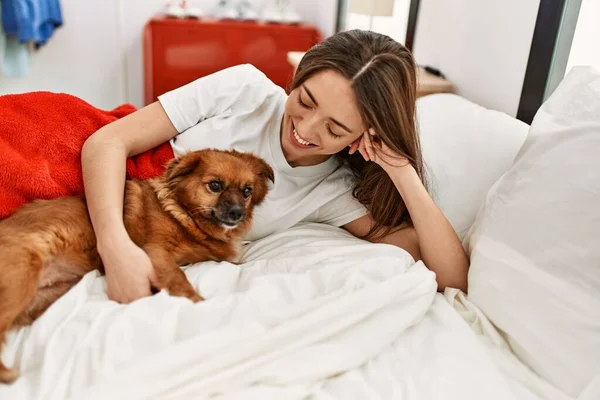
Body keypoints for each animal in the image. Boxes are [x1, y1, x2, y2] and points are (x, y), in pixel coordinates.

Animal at [0, 148, 276, 382]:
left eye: (247, 191)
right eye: (215, 185)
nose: (237, 213)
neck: (186, 217)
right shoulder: (155, 252)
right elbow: (178, 277)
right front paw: (196, 302)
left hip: (49, 294)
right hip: (22, 275)